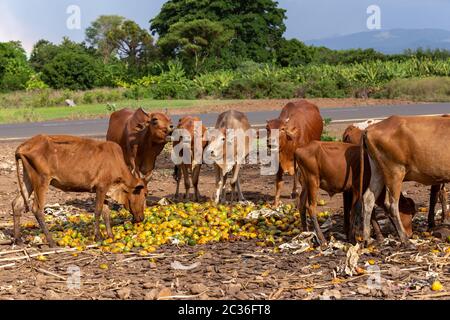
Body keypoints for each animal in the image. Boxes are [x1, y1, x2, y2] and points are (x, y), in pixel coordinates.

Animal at [11, 135, 146, 248]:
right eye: (144, 194)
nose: (142, 218)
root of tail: (23, 146)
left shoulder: (105, 190)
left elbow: (106, 213)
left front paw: (110, 235)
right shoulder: (101, 187)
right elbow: (98, 211)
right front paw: (98, 237)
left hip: (29, 179)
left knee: (17, 204)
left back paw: (18, 240)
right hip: (41, 180)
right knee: (37, 209)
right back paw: (51, 242)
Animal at [358, 116, 450, 244]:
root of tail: (368, 129)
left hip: (378, 171)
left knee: (368, 199)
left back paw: (367, 238)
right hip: (395, 171)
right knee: (391, 204)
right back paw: (404, 239)